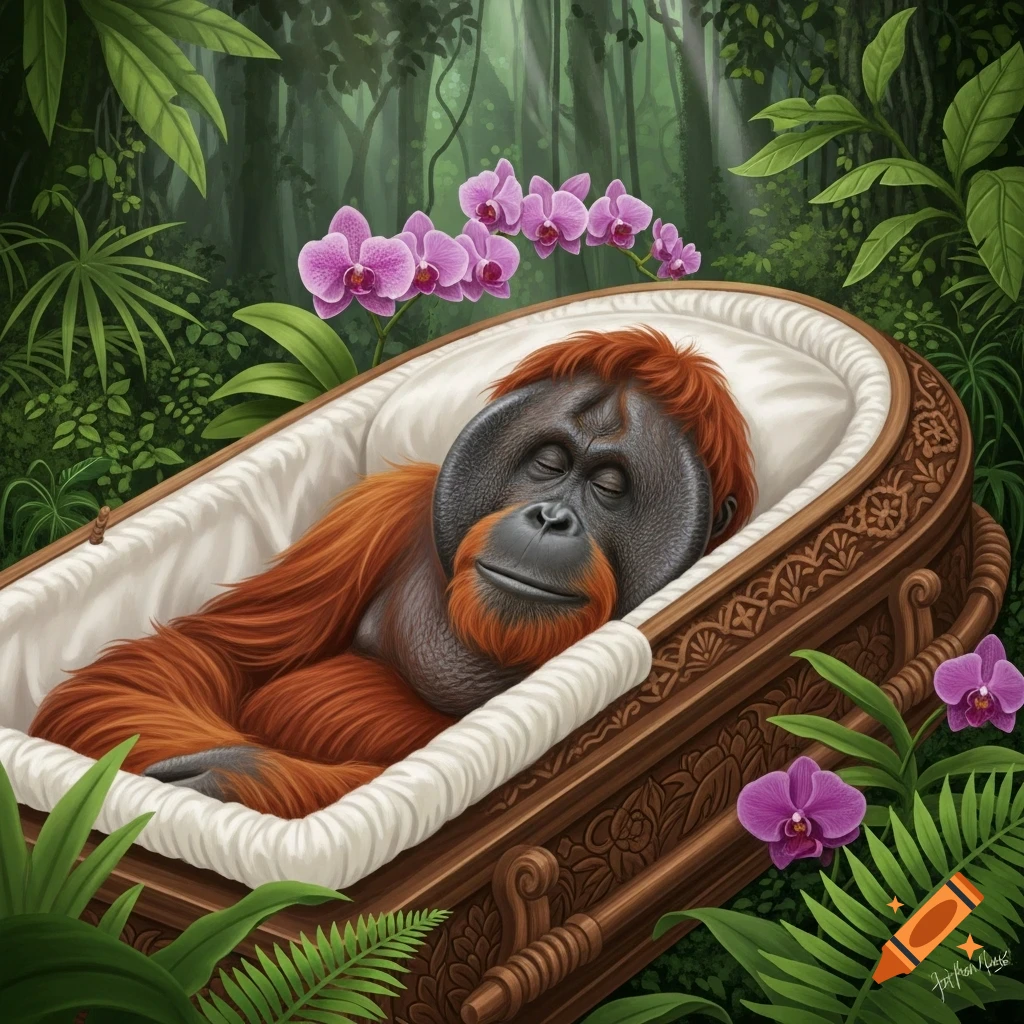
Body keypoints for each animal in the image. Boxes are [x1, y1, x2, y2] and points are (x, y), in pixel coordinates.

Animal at [30, 326, 756, 818]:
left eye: (609, 486)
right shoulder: (381, 509)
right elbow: (204, 651)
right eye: (549, 462)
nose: (551, 517)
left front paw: (235, 776)